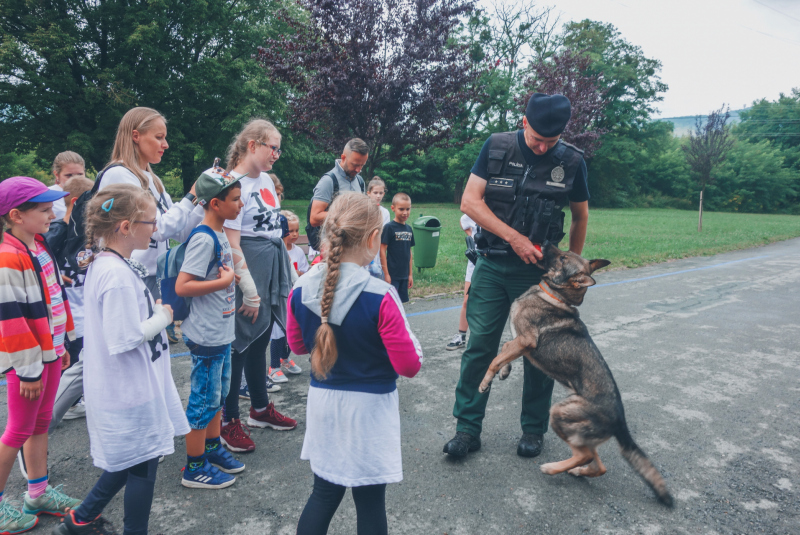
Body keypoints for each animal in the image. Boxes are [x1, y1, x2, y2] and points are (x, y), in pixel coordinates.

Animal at [478, 244, 672, 506]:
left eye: (562, 258)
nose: (545, 242)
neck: (554, 295)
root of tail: (619, 420)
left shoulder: (526, 340)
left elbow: (496, 358)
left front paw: (485, 382)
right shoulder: (520, 342)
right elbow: (505, 349)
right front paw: (505, 371)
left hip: (560, 413)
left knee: (585, 455)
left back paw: (552, 468)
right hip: (579, 431)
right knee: (597, 464)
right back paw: (577, 471)